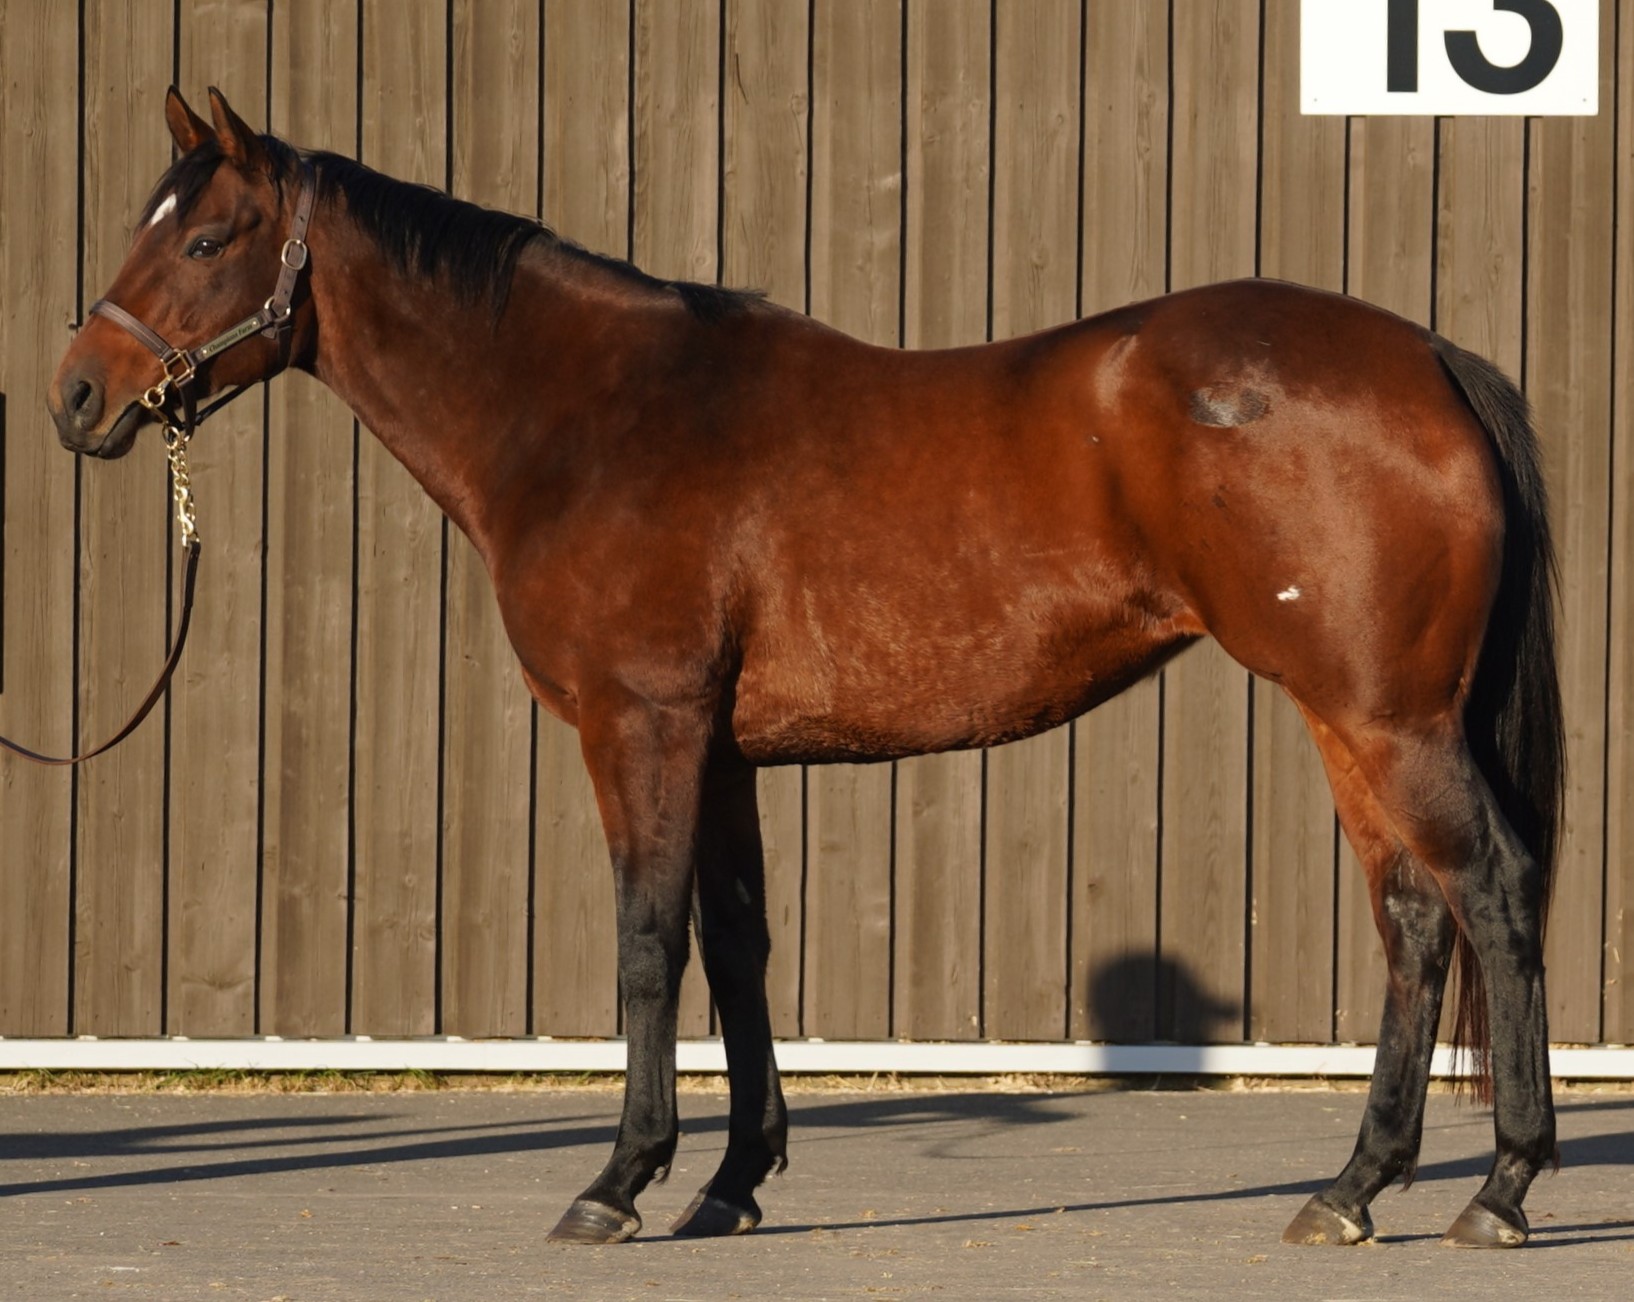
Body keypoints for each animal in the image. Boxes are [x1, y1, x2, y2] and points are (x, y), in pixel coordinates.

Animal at [49, 87, 1564, 1250]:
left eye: (212, 233)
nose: (76, 396)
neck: (592, 416)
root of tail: (1425, 356)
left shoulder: (642, 727)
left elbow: (649, 947)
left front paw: (617, 1182)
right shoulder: (721, 750)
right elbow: (737, 949)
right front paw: (726, 1183)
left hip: (1387, 715)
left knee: (1488, 893)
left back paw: (1499, 1187)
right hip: (1348, 717)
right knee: (1413, 921)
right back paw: (1351, 1187)